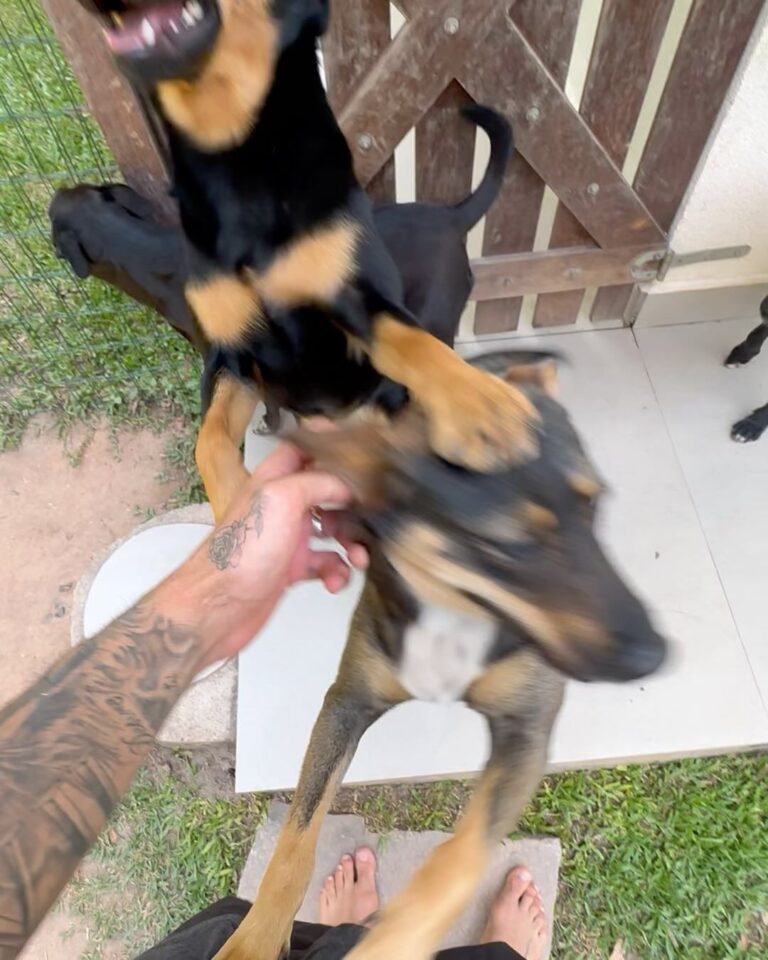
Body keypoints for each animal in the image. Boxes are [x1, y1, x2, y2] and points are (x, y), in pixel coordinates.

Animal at [76, 0, 536, 524]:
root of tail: (453, 214)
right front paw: (236, 508)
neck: (237, 166)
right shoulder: (235, 355)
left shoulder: (352, 300)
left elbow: (411, 343)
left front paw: (482, 406)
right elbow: (208, 438)